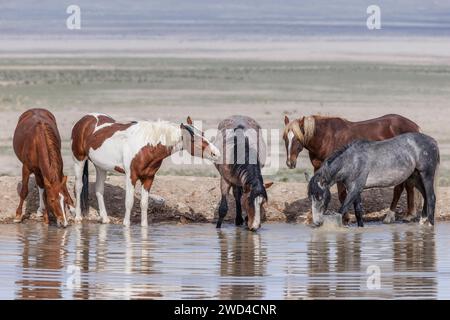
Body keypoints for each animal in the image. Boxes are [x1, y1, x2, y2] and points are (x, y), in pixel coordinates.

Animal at [71, 114, 221, 226]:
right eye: (194, 140)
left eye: (203, 134)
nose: (216, 153)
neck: (147, 146)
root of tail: (85, 119)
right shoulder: (131, 176)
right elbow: (129, 202)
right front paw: (126, 224)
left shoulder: (149, 178)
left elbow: (144, 204)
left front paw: (144, 226)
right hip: (79, 160)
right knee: (78, 187)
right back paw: (78, 217)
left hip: (100, 167)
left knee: (99, 190)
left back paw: (105, 219)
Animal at [284, 114, 420, 224]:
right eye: (285, 138)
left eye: (297, 138)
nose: (290, 163)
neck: (327, 138)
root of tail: (414, 126)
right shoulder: (318, 168)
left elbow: (342, 195)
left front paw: (345, 218)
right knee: (408, 187)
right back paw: (409, 215)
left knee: (399, 189)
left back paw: (390, 216)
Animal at [306, 132, 440, 228]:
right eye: (310, 197)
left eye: (319, 197)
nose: (317, 222)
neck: (352, 161)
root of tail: (432, 141)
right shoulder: (355, 190)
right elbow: (358, 211)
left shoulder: (355, 189)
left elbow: (342, 209)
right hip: (415, 178)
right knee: (426, 196)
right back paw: (422, 221)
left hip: (426, 175)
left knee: (431, 197)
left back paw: (430, 224)